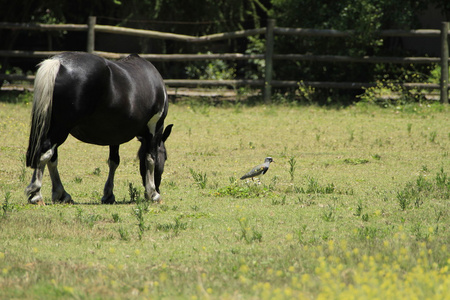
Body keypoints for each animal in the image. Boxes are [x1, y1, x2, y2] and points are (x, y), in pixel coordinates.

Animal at [25, 52, 172, 206]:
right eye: (165, 156)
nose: (158, 187)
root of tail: (59, 63)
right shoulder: (155, 128)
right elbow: (150, 158)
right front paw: (153, 193)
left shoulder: (115, 134)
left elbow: (114, 161)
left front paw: (108, 195)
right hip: (60, 128)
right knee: (45, 153)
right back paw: (36, 195)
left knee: (52, 158)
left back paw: (61, 194)